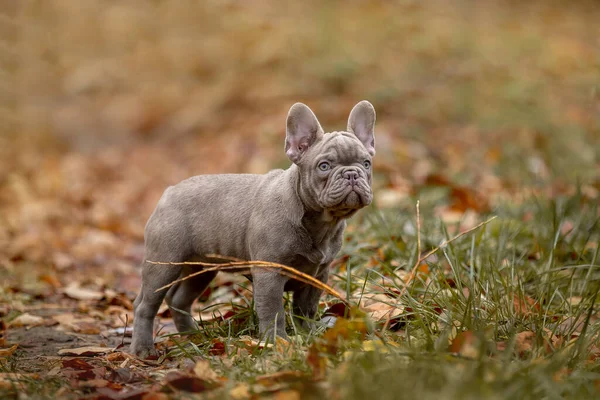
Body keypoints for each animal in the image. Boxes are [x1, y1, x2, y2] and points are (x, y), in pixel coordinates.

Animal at [130, 100, 376, 356]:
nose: (351, 174)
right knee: (145, 304)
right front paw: (277, 342)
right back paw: (143, 349)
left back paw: (192, 337)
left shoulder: (317, 275)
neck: (320, 222)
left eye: (366, 163)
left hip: (201, 269)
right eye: (324, 166)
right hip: (164, 263)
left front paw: (308, 335)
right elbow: (273, 312)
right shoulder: (269, 274)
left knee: (179, 300)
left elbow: (305, 308)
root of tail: (168, 192)